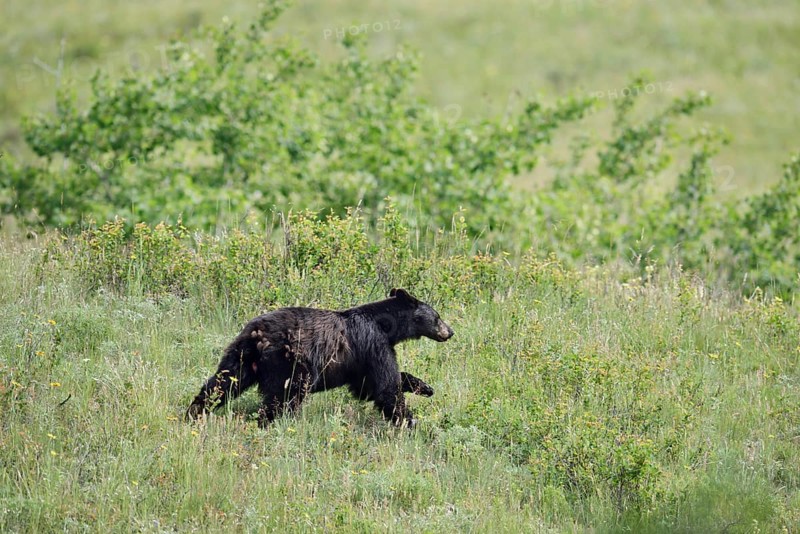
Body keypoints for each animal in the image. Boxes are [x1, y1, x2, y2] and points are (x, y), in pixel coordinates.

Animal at [187, 288, 453, 427]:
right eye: (438, 316)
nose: (450, 331)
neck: (387, 327)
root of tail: (257, 335)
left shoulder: (360, 361)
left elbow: (367, 386)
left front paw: (424, 386)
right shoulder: (373, 344)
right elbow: (385, 386)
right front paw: (409, 421)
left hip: (241, 355)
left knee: (222, 383)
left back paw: (195, 411)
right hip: (289, 362)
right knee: (283, 396)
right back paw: (270, 422)